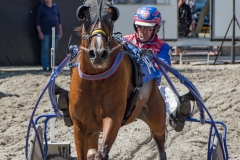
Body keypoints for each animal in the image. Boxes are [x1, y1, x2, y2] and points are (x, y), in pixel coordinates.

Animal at [69, 0, 167, 159]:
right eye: (84, 16)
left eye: (111, 17)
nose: (98, 53)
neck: (95, 79)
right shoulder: (80, 126)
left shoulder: (114, 116)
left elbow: (101, 152)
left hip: (156, 115)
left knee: (160, 139)